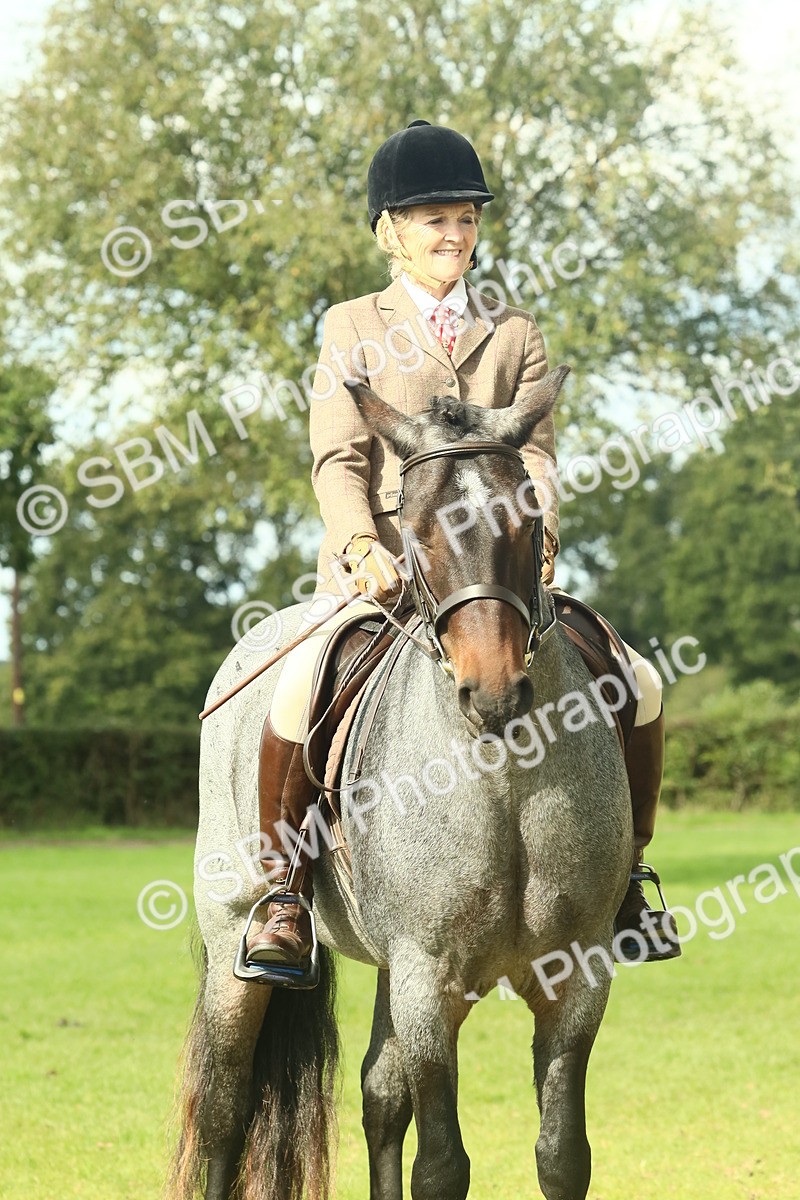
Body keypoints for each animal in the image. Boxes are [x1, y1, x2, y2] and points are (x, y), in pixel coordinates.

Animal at [169, 365, 633, 1200]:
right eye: (415, 530)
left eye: (528, 521)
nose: (494, 692)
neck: (503, 775)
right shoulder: (427, 976)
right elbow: (442, 1164)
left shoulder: (576, 976)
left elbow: (561, 1154)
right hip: (235, 940)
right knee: (225, 1107)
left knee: (379, 1097)